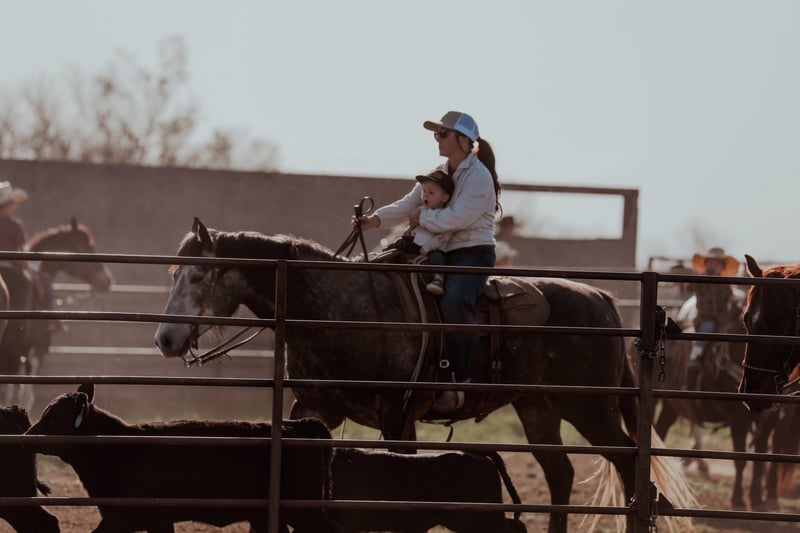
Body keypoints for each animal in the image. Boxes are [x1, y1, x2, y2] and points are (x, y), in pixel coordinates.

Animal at [26, 384, 336, 533]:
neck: (119, 450)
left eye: (53, 418)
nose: (27, 435)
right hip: (268, 514)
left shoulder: (125, 517)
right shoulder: (156, 520)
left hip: (304, 509)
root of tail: (298, 425)